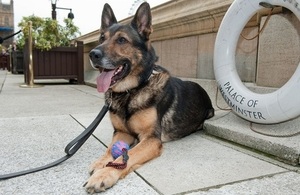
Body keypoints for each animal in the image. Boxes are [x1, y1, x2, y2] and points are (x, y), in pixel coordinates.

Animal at [85, 1, 214, 193]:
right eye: (102, 38)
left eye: (122, 40)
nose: (93, 54)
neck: (131, 91)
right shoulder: (122, 132)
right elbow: (110, 149)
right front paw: (100, 162)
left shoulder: (151, 139)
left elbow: (128, 155)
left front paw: (103, 175)